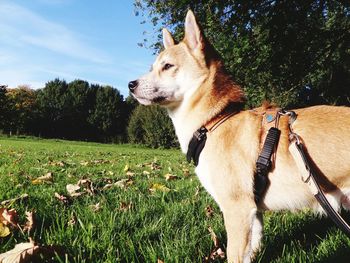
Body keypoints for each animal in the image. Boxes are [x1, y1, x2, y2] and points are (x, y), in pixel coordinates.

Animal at [129, 9, 350, 262]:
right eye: (152, 67)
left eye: (167, 66)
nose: (130, 84)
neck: (213, 122)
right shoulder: (254, 214)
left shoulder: (237, 210)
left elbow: (234, 254)